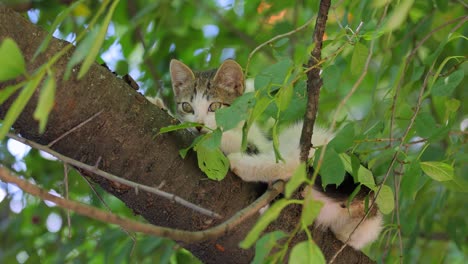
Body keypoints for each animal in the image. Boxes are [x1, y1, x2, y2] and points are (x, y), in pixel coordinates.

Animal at [155, 58, 382, 250]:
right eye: (187, 106)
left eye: (215, 106)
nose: (199, 126)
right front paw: (160, 105)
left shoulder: (258, 143)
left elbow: (225, 139)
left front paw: (208, 135)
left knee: (294, 162)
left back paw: (242, 165)